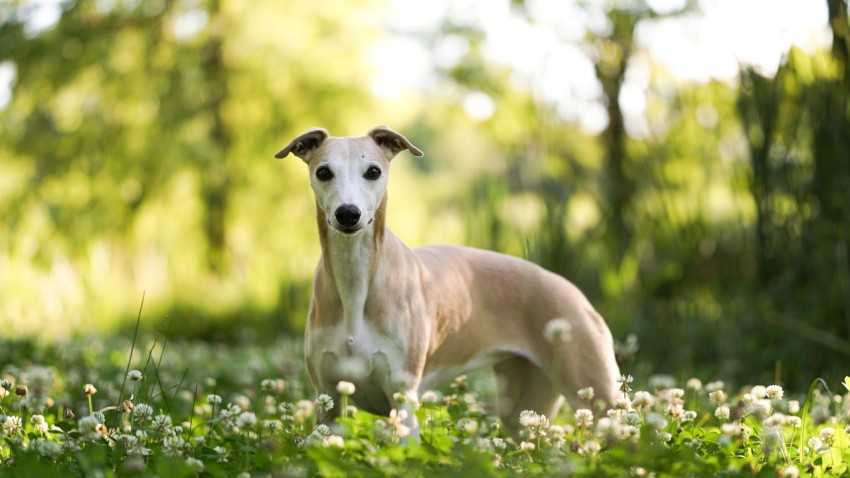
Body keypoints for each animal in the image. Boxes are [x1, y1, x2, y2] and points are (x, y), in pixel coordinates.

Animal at [274, 126, 620, 436]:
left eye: (372, 171)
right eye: (323, 172)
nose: (348, 214)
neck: (356, 283)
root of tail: (573, 292)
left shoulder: (403, 398)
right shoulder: (328, 401)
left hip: (598, 394)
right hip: (523, 407)